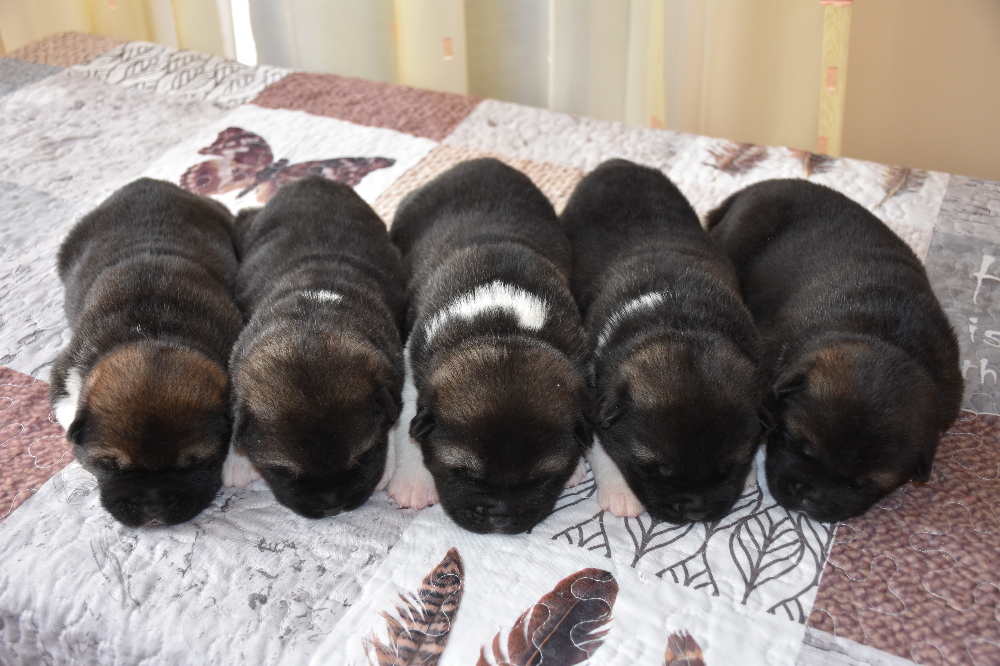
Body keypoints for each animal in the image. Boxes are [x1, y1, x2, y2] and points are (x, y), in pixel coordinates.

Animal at [49, 178, 242, 528]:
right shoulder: (64, 371)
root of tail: (146, 182)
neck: (150, 334)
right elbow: (69, 408)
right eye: (110, 465)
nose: (154, 508)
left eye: (194, 464)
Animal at [386, 158, 590, 534]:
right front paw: (413, 484)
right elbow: (408, 422)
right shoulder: (412, 363)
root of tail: (482, 160)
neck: (502, 328)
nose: (500, 519)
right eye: (464, 473)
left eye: (540, 479)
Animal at [563, 159, 766, 523]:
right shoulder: (598, 394)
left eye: (730, 468)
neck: (678, 321)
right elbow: (601, 448)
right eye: (656, 470)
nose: (696, 511)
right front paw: (621, 494)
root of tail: (614, 162)